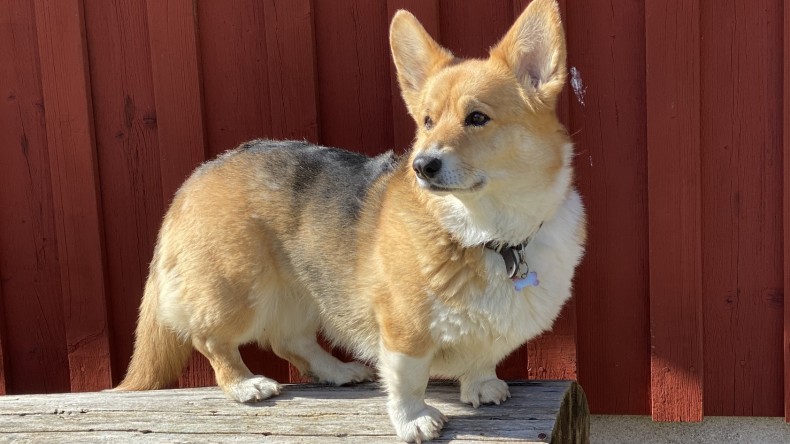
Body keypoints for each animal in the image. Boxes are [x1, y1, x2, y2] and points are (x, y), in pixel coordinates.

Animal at [119, 1, 588, 442]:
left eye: (477, 118)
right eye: (427, 122)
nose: (422, 166)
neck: (490, 233)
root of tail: (195, 178)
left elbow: (482, 357)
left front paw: (482, 387)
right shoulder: (402, 328)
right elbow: (407, 379)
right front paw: (414, 421)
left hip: (306, 292)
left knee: (291, 341)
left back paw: (337, 372)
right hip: (238, 290)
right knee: (212, 339)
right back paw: (246, 384)